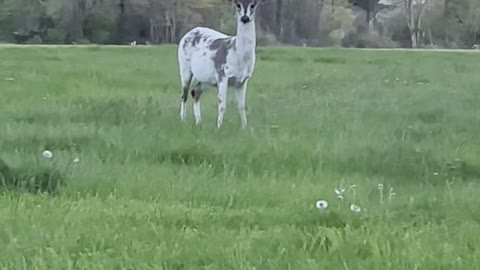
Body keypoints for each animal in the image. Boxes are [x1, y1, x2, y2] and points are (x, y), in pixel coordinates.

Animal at [177, 0, 260, 129]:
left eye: (253, 5)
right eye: (237, 4)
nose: (245, 18)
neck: (238, 55)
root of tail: (188, 34)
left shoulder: (243, 80)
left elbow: (242, 106)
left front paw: (244, 128)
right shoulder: (222, 74)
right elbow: (222, 104)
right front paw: (219, 128)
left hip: (207, 79)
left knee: (195, 92)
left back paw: (199, 122)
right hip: (184, 67)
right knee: (184, 94)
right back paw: (183, 120)